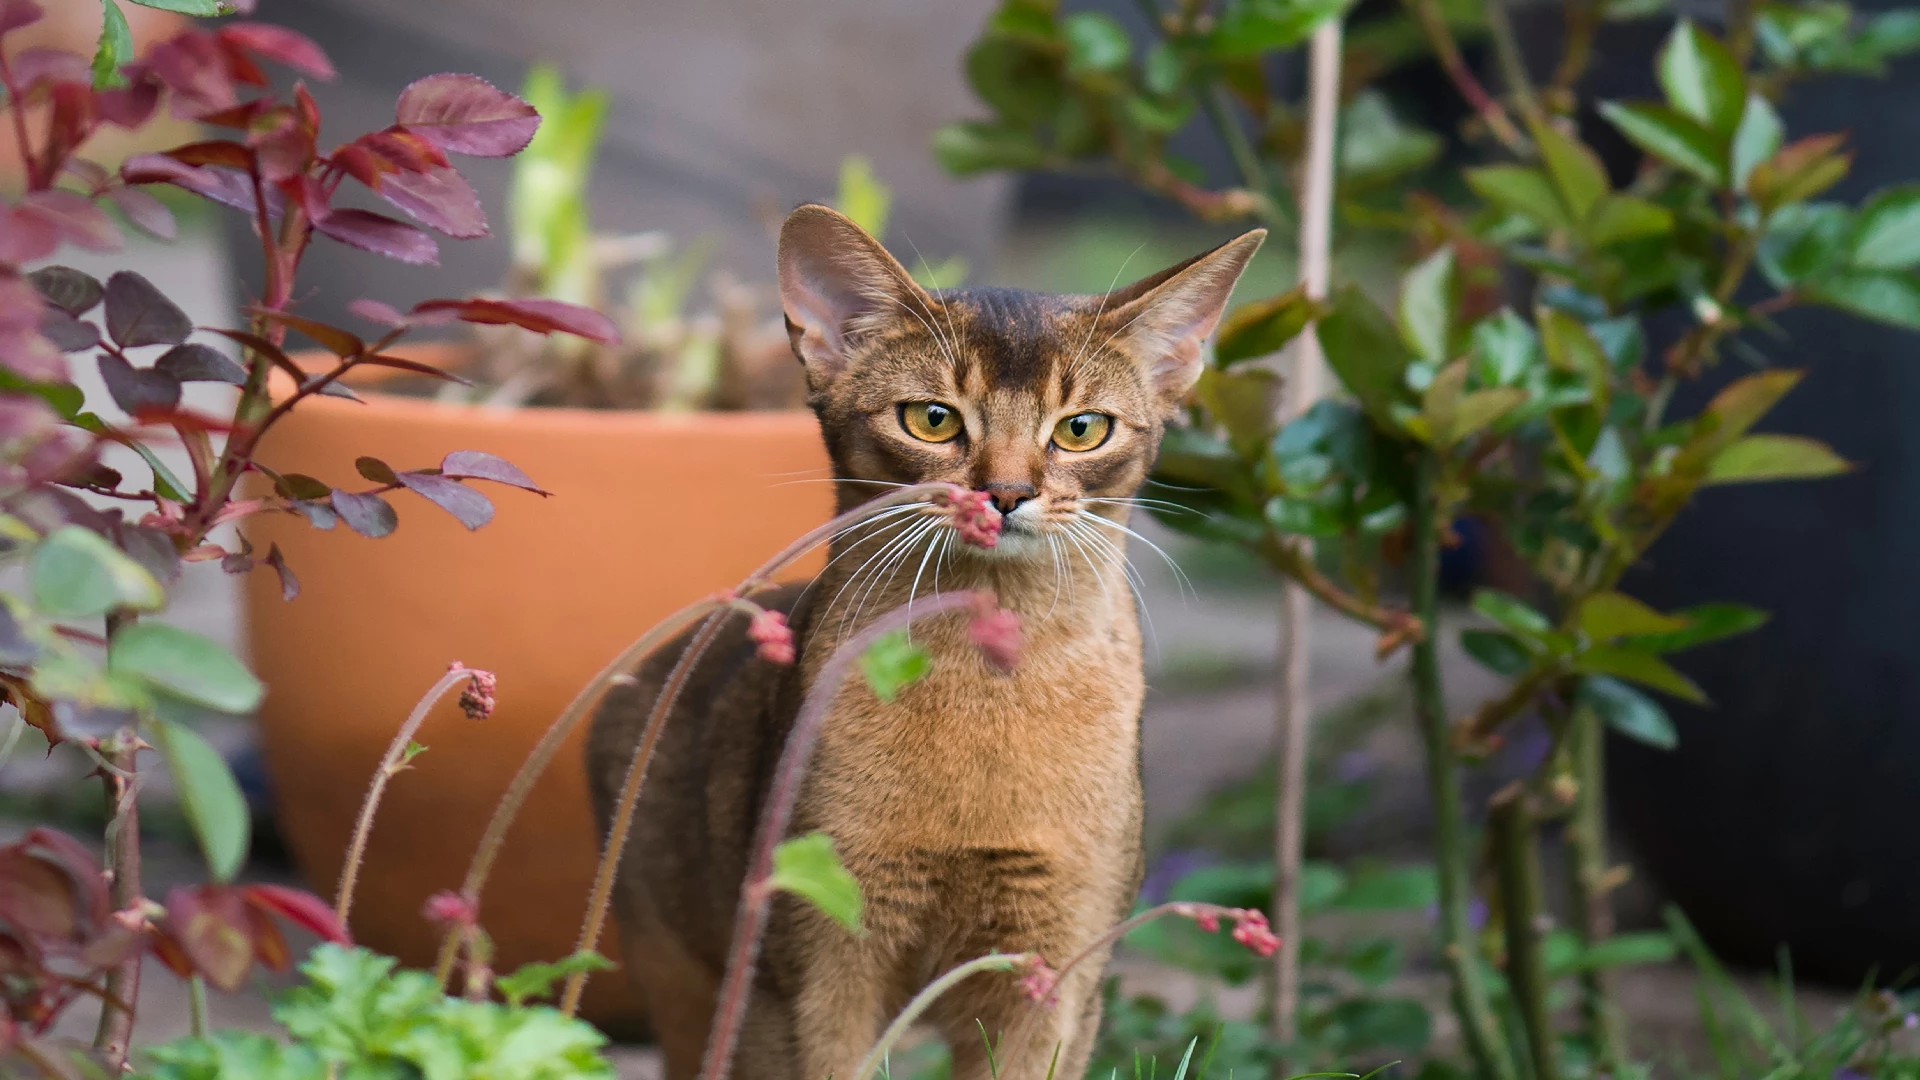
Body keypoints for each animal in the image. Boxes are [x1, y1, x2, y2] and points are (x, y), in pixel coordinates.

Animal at [591, 203, 1267, 1076]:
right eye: (933, 419)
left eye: (1082, 429)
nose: (1006, 493)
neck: (986, 685)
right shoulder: (811, 968)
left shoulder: (1058, 973)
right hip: (685, 979)